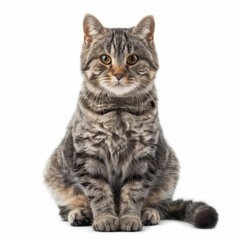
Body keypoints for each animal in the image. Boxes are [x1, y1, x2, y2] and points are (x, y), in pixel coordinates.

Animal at [43, 14, 218, 232]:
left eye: (132, 59)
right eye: (105, 59)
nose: (118, 74)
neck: (119, 110)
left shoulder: (143, 156)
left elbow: (134, 192)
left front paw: (129, 217)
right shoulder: (88, 154)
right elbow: (98, 191)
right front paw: (105, 217)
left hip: (170, 170)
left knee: (162, 205)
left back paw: (148, 212)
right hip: (54, 172)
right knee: (67, 207)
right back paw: (80, 213)